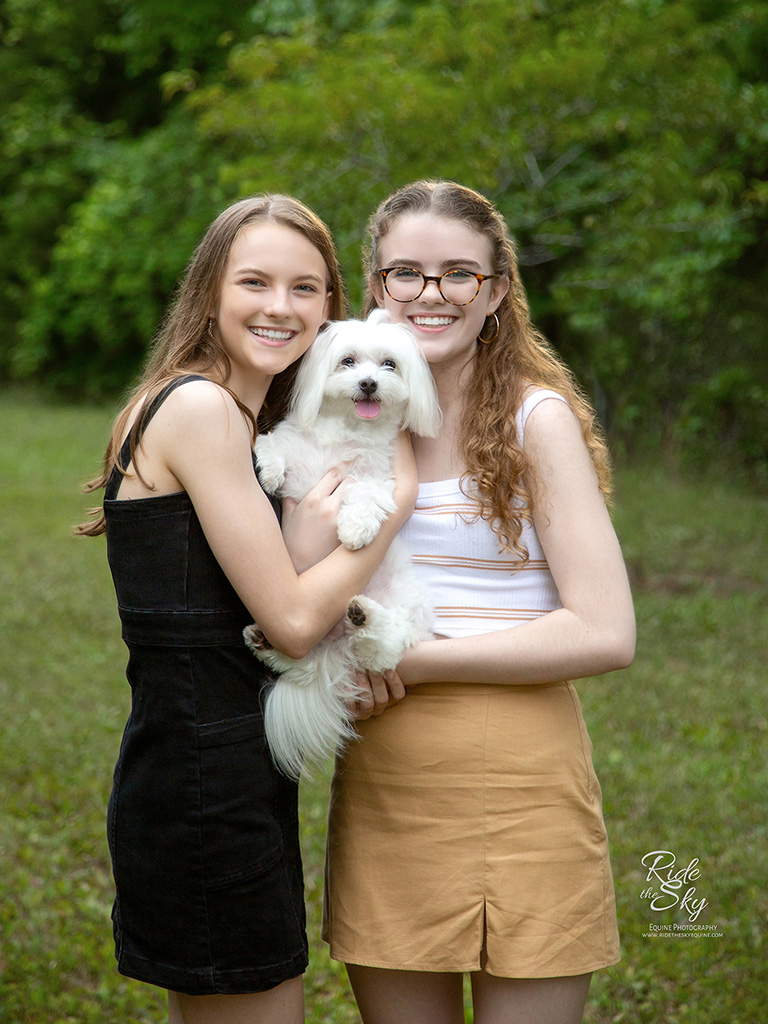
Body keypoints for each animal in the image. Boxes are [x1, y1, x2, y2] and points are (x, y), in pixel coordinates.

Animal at [243, 307, 442, 778]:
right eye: (348, 361)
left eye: (389, 364)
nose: (369, 383)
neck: (344, 432)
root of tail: (338, 651)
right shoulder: (294, 447)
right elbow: (272, 445)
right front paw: (269, 471)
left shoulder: (378, 478)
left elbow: (366, 494)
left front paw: (354, 529)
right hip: (315, 643)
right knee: (302, 661)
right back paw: (266, 642)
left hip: (405, 604)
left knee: (382, 648)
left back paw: (363, 617)